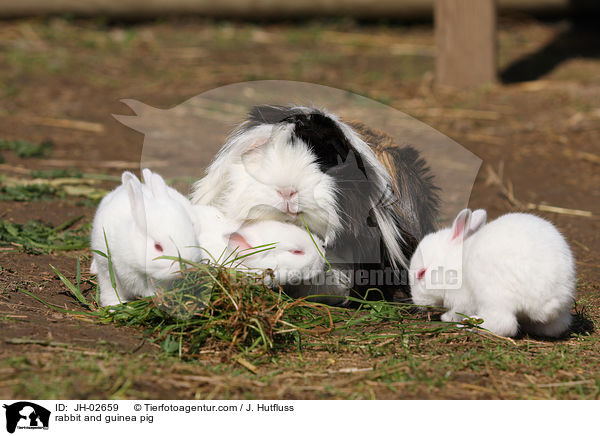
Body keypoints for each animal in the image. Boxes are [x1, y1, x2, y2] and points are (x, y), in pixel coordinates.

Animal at [88, 170, 202, 306]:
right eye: (158, 247)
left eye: (192, 232)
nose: (188, 267)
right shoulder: (106, 266)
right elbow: (111, 289)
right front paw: (113, 305)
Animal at [410, 208, 576, 338]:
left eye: (421, 273)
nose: (417, 302)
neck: (453, 263)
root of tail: (547, 300)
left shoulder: (462, 299)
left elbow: (457, 311)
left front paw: (445, 318)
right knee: (557, 327)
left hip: (493, 296)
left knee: (504, 324)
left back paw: (470, 324)